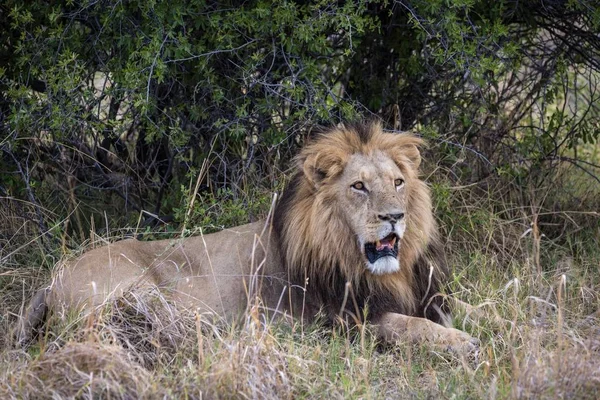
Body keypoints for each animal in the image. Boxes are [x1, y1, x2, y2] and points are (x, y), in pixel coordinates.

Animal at [19, 122, 478, 354]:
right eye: (359, 187)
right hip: (138, 297)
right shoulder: (339, 320)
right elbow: (407, 325)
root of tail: (50, 281)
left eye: (398, 182)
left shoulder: (428, 293)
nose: (395, 217)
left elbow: (464, 309)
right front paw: (462, 343)